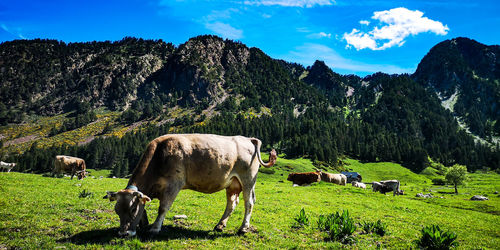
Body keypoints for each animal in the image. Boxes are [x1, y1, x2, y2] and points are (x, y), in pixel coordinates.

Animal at [102, 133, 278, 236]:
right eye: (117, 210)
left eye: (132, 209)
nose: (123, 233)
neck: (159, 156)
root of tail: (248, 139)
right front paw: (144, 225)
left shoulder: (174, 184)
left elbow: (163, 208)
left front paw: (155, 228)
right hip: (233, 183)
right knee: (232, 203)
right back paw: (220, 225)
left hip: (248, 179)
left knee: (249, 202)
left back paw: (243, 228)